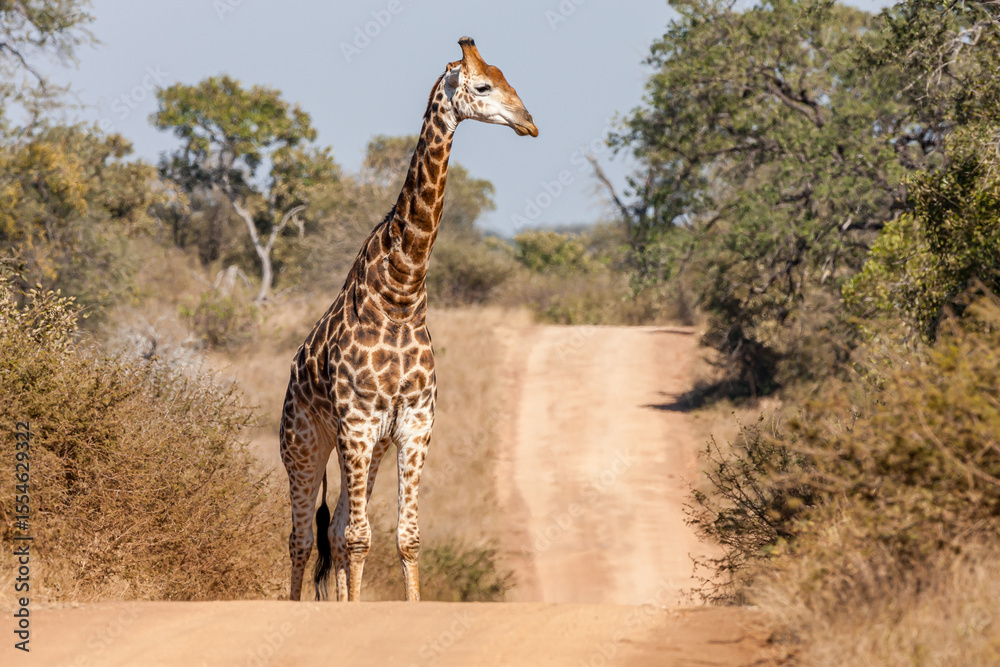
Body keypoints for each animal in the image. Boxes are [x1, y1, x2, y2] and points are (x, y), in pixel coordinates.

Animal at [279, 37, 537, 602]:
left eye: (508, 78)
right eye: (482, 86)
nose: (529, 122)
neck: (400, 294)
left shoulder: (414, 425)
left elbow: (405, 537)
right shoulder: (357, 423)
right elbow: (359, 538)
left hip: (368, 447)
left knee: (333, 529)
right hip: (303, 443)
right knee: (303, 537)